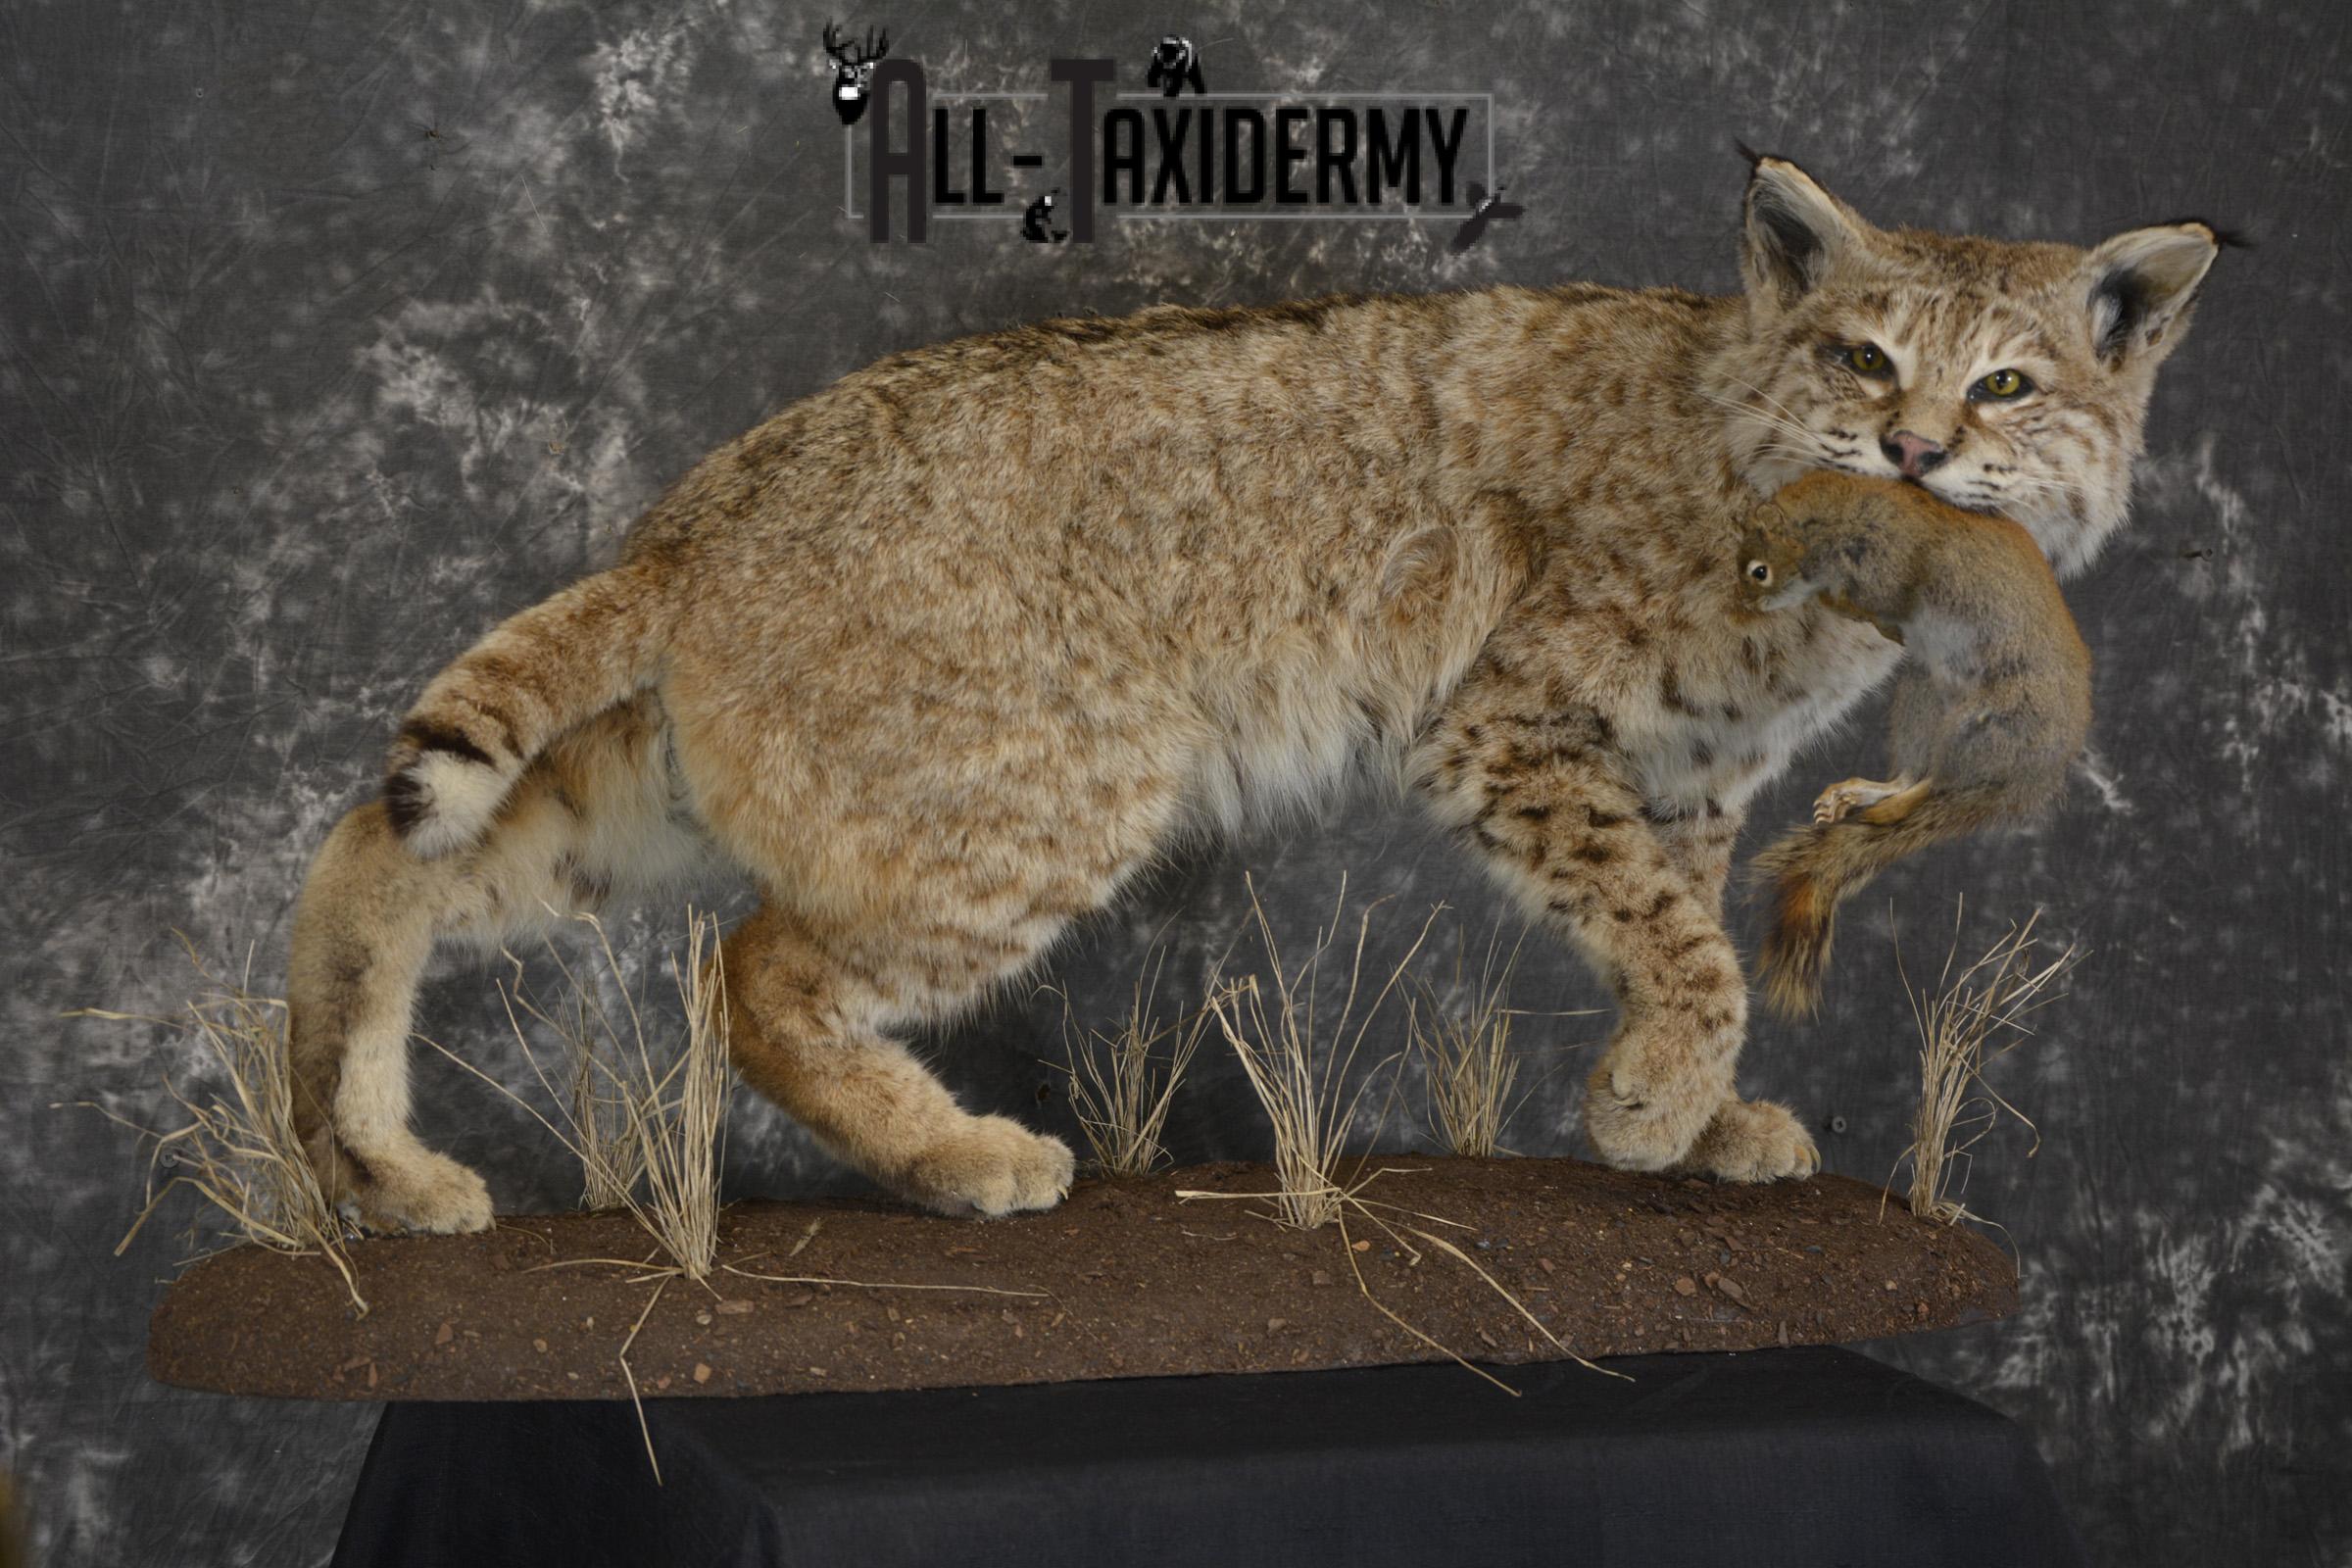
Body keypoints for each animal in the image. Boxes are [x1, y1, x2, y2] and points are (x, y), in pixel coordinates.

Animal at [1735, 469, 2093, 1017]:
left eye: (1759, 571)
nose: (1742, 610)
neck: (1838, 518)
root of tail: (2027, 779)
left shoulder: (1889, 565)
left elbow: (1869, 601)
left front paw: (1843, 606)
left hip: (1986, 725)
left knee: (1935, 784)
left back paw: (1892, 807)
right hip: (1922, 697)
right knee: (1914, 775)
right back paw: (1861, 794)